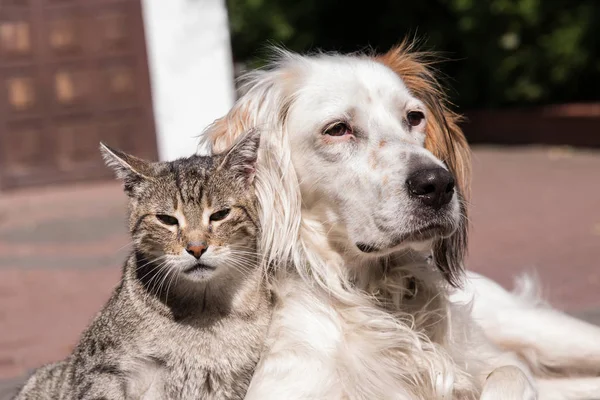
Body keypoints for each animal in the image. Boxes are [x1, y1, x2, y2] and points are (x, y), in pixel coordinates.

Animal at [199, 41, 600, 400]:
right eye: (337, 129)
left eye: (414, 117)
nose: (437, 185)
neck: (372, 293)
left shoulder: (496, 363)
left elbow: (509, 374)